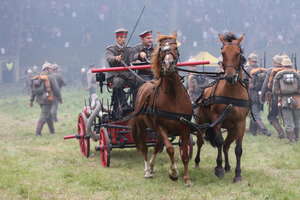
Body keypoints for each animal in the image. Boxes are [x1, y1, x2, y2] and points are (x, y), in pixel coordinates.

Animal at [130, 33, 193, 186]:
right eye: (161, 50)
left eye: (175, 48)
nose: (168, 64)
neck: (173, 96)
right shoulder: (161, 127)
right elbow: (170, 148)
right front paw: (173, 172)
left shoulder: (185, 128)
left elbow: (184, 153)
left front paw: (187, 178)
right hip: (142, 127)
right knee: (145, 147)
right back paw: (147, 170)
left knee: (157, 147)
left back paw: (152, 167)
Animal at [193, 32, 250, 183]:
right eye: (223, 53)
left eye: (238, 53)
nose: (230, 76)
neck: (232, 93)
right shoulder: (216, 120)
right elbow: (218, 141)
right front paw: (218, 168)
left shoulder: (240, 123)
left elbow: (238, 149)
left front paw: (237, 174)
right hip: (202, 122)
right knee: (200, 141)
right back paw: (197, 162)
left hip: (232, 129)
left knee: (227, 145)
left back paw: (228, 166)